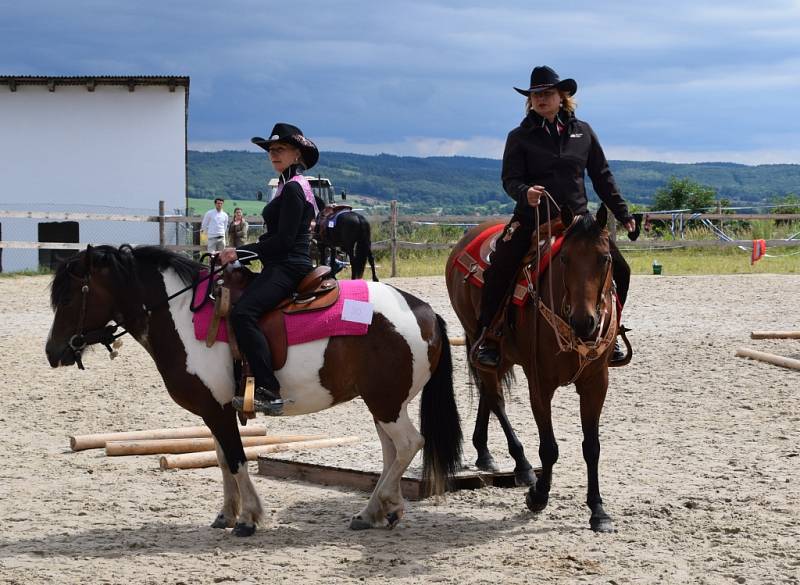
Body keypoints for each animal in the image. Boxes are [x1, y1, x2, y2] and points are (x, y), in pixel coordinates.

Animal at [47, 244, 462, 536]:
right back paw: (378, 511)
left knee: (408, 444)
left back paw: (376, 508)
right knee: (392, 452)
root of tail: (424, 310)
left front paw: (248, 518)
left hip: (387, 402)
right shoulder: (214, 410)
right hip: (384, 402)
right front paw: (226, 514)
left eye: (68, 297)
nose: (53, 352)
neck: (181, 314)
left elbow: (235, 458)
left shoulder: (216, 410)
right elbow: (220, 457)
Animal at [446, 206, 620, 532]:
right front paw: (539, 495)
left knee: (489, 393)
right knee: (495, 397)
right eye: (564, 259)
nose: (585, 322)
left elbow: (592, 447)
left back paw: (484, 454)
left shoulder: (596, 383)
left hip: (503, 354)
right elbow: (549, 447)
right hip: (478, 338)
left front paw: (598, 511)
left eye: (605, 258)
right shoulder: (540, 382)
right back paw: (523, 465)